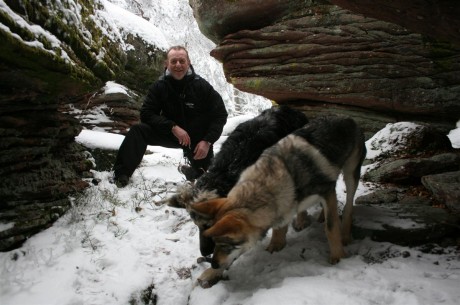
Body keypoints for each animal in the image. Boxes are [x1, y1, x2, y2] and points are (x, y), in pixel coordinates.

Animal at [166, 104, 310, 254]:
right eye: (197, 225)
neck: (230, 167)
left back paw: (301, 220)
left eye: (209, 225)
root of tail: (289, 109)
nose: (205, 253)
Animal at [189, 114, 364, 288]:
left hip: (350, 175)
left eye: (226, 245)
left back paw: (345, 234)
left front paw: (338, 257)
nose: (213, 263)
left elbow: (331, 227)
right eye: (215, 242)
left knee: (348, 206)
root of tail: (345, 117)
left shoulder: (325, 191)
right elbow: (279, 228)